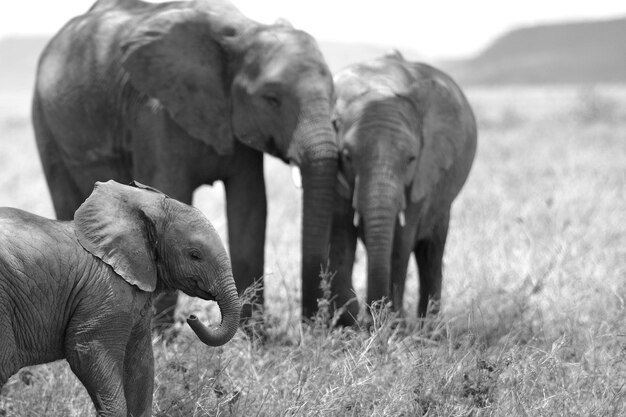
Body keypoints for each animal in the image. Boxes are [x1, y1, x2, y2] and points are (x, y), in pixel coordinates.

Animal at [31, 0, 336, 326]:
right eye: (272, 99)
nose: (313, 322)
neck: (245, 30)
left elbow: (250, 206)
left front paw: (254, 333)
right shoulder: (155, 113)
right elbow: (169, 195)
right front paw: (161, 331)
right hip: (45, 120)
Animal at [324, 52, 476, 324]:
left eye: (411, 159)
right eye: (347, 156)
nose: (371, 314)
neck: (380, 87)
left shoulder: (422, 174)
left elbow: (401, 240)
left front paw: (391, 324)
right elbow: (340, 233)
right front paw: (346, 323)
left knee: (431, 253)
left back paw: (430, 327)